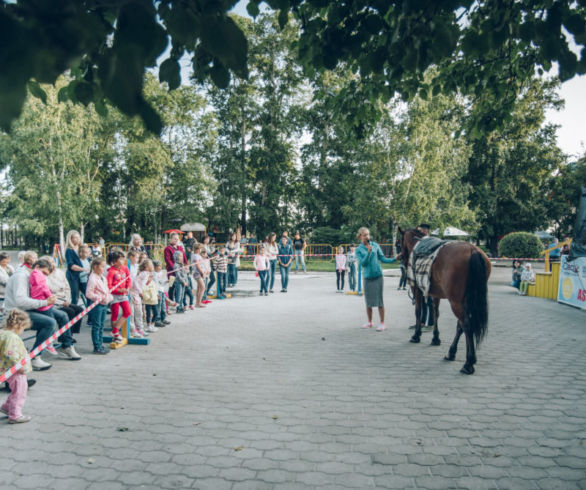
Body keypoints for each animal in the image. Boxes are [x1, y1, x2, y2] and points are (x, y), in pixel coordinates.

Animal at [400, 228, 490, 374]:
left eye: (399, 241)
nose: (401, 258)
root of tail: (473, 250)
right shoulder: (435, 294)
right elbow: (435, 313)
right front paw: (435, 338)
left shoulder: (417, 289)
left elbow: (418, 312)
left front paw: (416, 335)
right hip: (466, 300)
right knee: (461, 325)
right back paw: (451, 352)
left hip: (455, 302)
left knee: (466, 324)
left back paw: (468, 363)